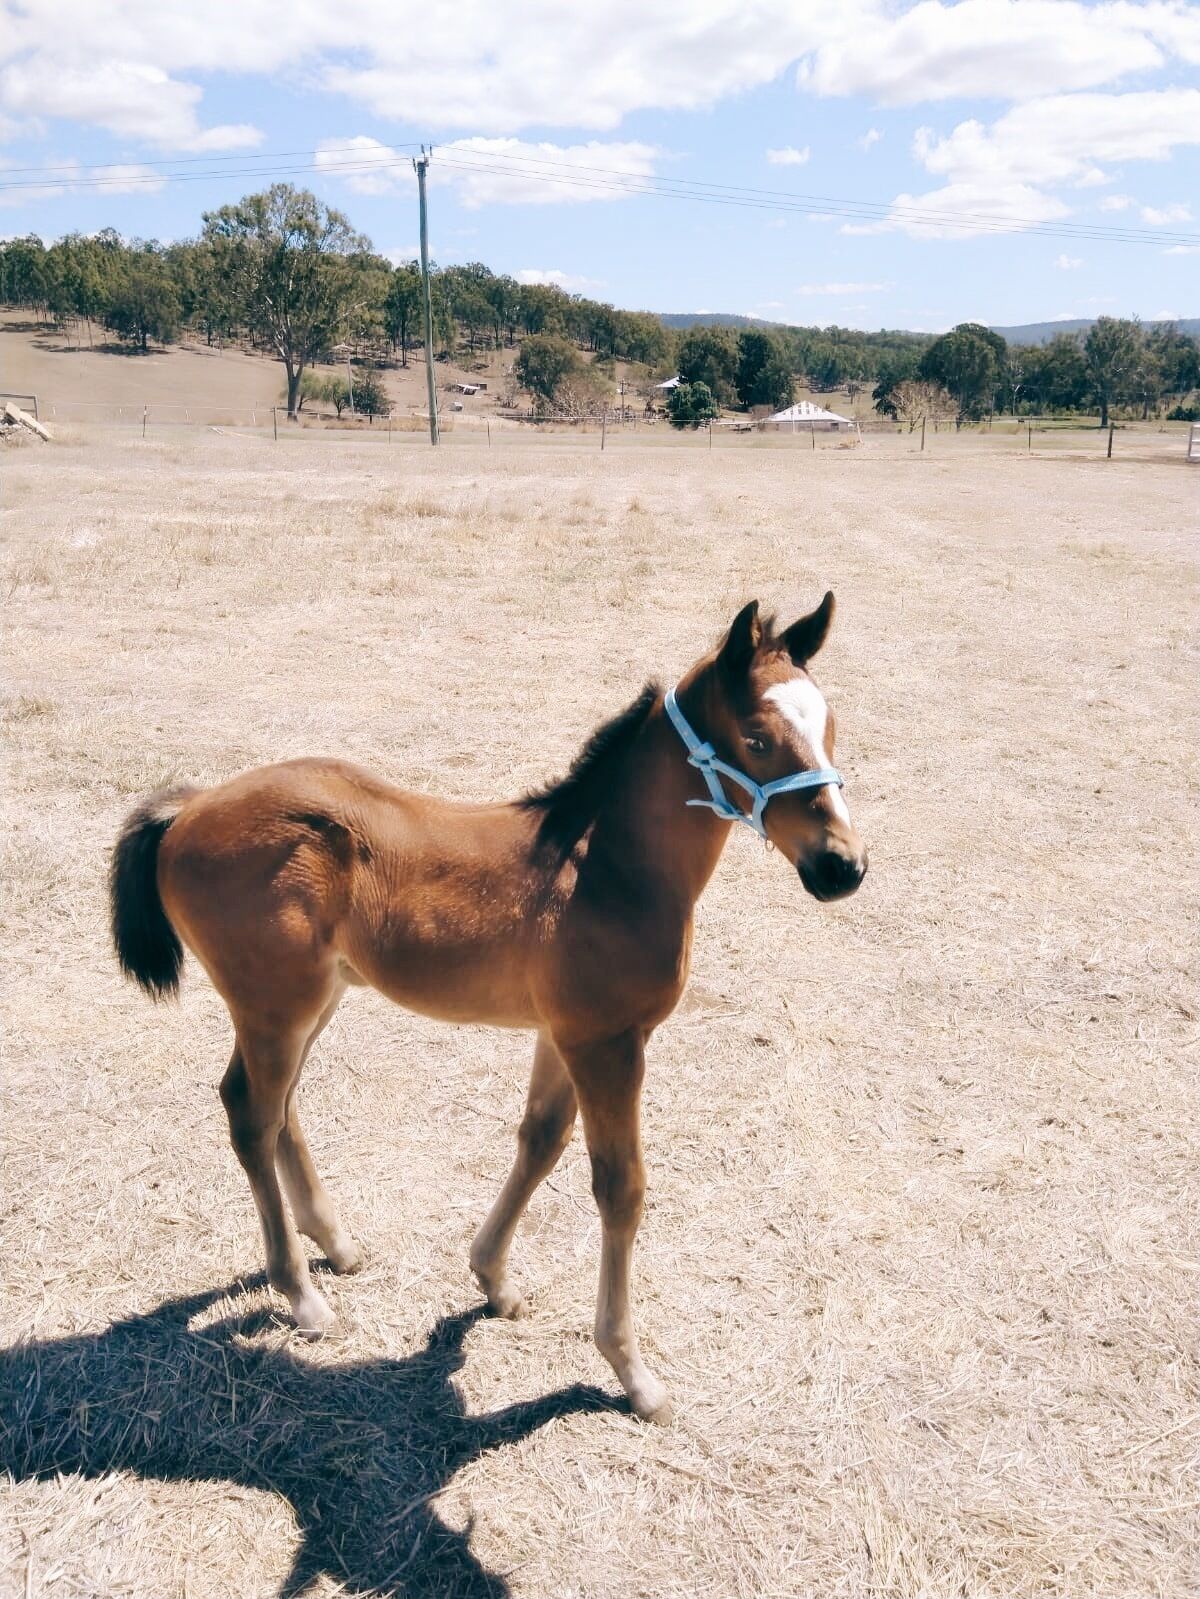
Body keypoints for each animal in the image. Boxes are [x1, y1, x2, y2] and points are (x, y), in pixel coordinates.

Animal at [110, 594, 864, 1419]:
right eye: (757, 739)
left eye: (830, 727)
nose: (842, 866)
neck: (607, 870)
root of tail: (189, 808)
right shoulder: (609, 1041)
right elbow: (621, 1188)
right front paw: (631, 1370)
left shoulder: (563, 1034)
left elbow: (538, 1141)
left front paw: (493, 1279)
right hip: (276, 1003)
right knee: (252, 1113)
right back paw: (303, 1296)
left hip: (308, 999)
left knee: (277, 1107)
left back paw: (337, 1245)